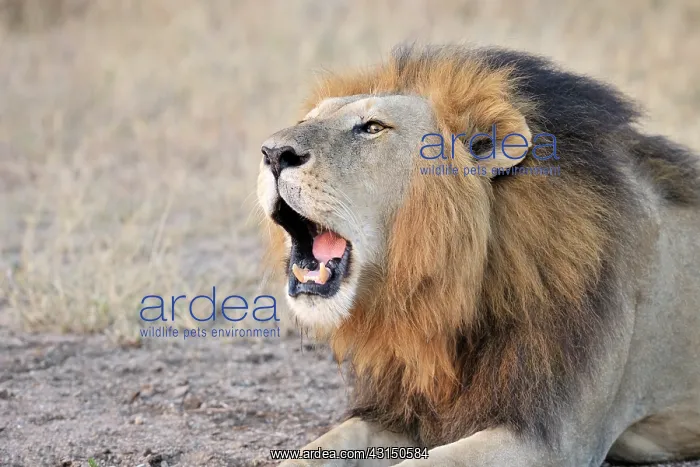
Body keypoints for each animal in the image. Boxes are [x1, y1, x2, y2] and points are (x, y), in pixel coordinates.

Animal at [256, 44, 700, 466]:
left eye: (372, 127)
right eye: (307, 119)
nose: (273, 152)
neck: (454, 299)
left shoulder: (552, 439)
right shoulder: (398, 411)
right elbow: (318, 449)